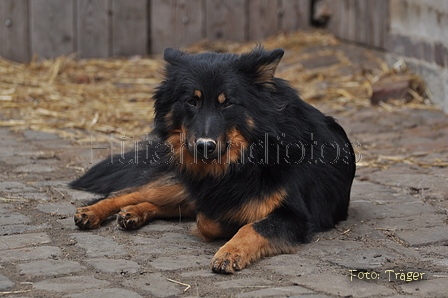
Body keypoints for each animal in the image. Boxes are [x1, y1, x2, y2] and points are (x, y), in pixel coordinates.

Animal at [71, 45, 356, 274]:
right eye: (191, 101)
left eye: (227, 103)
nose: (204, 147)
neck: (247, 160)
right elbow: (206, 220)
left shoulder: (295, 216)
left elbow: (248, 226)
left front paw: (230, 250)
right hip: (178, 184)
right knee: (127, 192)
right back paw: (95, 211)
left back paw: (134, 212)